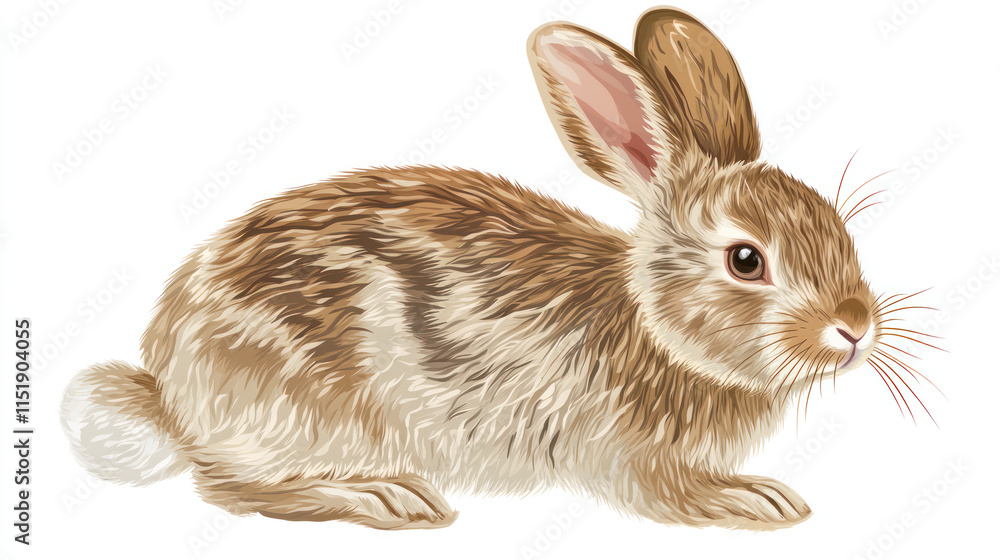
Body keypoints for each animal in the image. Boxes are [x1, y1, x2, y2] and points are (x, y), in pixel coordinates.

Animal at [61, 7, 891, 531]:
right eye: (746, 260)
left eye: (838, 227)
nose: (855, 327)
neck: (655, 328)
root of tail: (172, 393)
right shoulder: (623, 455)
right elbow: (669, 494)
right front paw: (758, 502)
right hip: (307, 412)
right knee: (227, 485)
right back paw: (387, 499)